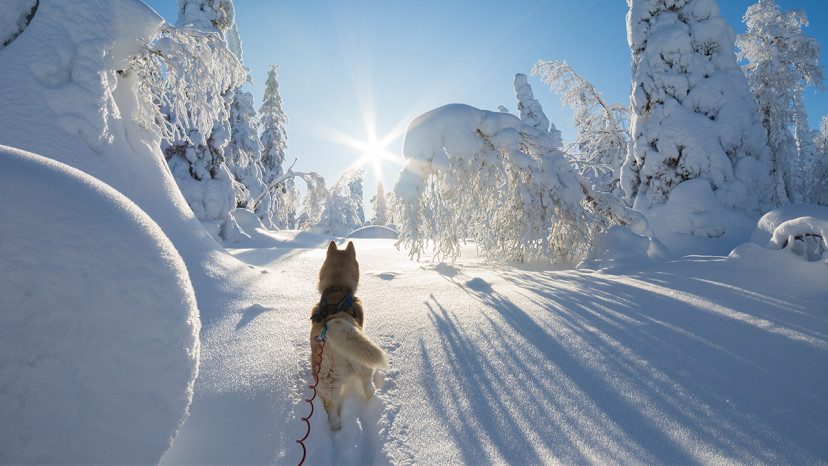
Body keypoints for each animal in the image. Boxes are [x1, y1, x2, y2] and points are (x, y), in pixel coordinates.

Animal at [310, 242, 388, 432]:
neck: (336, 288)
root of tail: (332, 323)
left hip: (326, 381)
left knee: (331, 409)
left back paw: (336, 427)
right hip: (361, 359)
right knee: (366, 381)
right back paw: (373, 394)